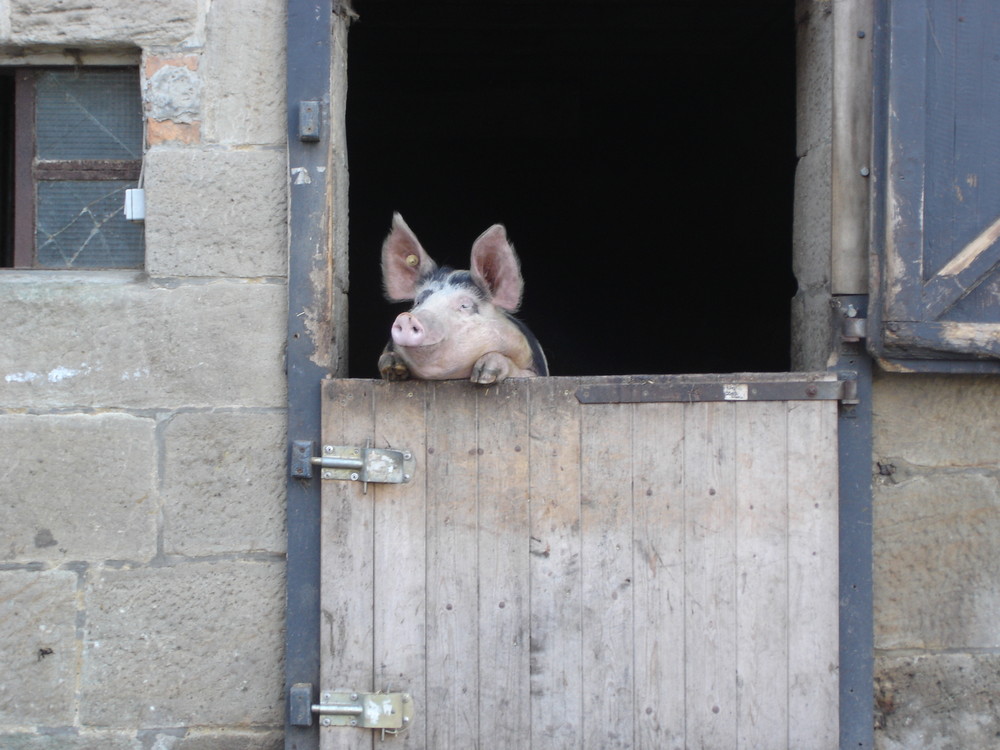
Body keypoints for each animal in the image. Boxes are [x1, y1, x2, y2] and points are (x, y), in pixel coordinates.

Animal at [376, 213, 548, 384]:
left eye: (465, 305)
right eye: (418, 301)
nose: (407, 317)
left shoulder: (532, 371)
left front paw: (484, 375)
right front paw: (392, 366)